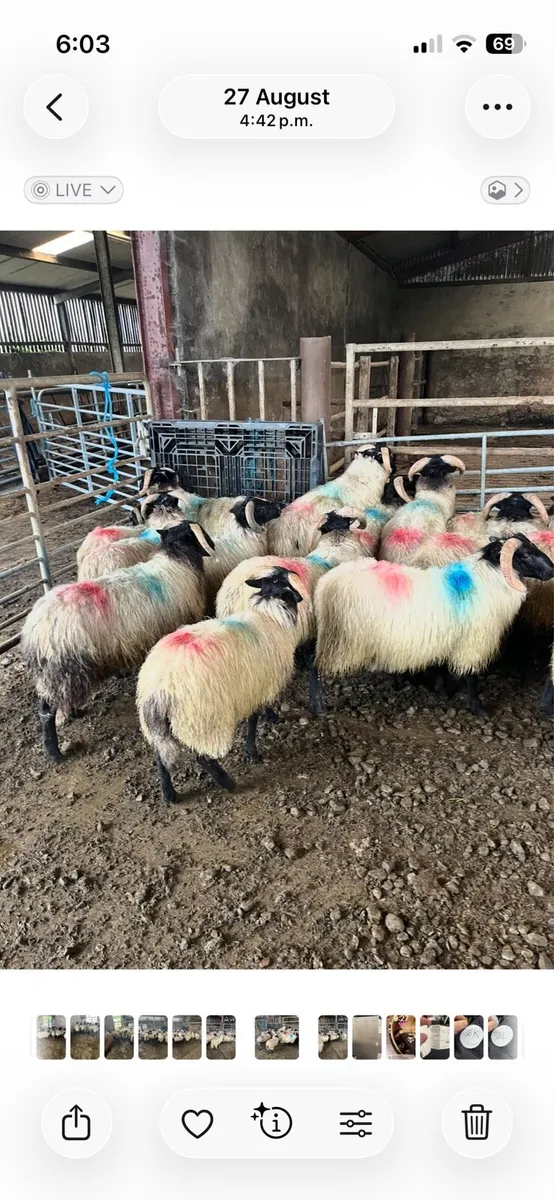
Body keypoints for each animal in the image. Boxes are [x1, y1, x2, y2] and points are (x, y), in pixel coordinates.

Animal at [21, 521, 214, 763]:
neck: (177, 557)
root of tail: (32, 629)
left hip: (57, 675)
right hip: (61, 669)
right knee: (46, 711)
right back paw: (55, 754)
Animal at [137, 566, 306, 799]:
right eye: (288, 585)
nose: (300, 597)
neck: (269, 614)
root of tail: (158, 688)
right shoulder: (257, 685)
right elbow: (253, 720)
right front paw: (252, 750)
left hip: (156, 726)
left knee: (160, 755)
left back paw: (169, 793)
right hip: (206, 720)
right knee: (203, 757)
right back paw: (228, 782)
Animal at [312, 534, 554, 715]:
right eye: (525, 554)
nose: (552, 570)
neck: (487, 580)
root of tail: (324, 583)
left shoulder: (442, 635)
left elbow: (439, 666)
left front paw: (440, 691)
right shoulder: (472, 641)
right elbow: (471, 677)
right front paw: (477, 707)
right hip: (338, 636)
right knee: (314, 668)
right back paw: (318, 706)